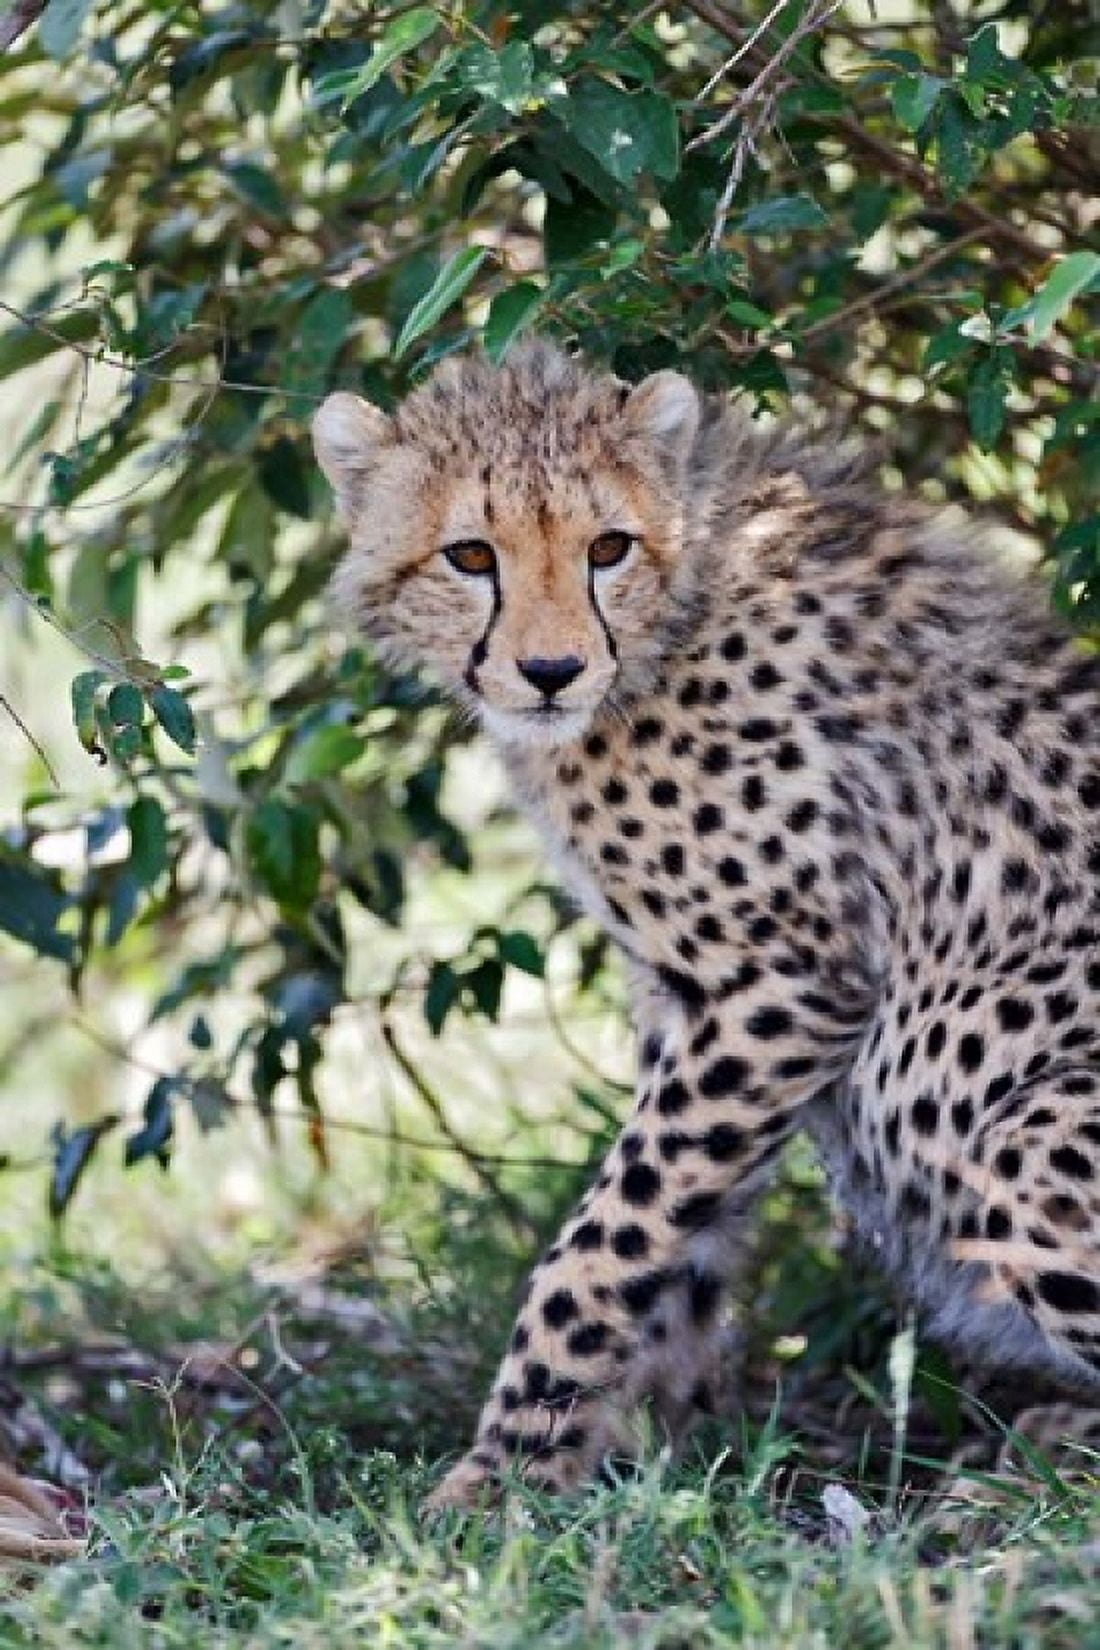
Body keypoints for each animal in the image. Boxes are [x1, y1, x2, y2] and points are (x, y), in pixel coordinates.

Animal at [312, 339, 1100, 1511]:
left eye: (606, 546)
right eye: (468, 555)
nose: (550, 673)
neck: (674, 617)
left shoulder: (783, 985)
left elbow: (602, 1238)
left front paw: (502, 1472)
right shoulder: (690, 1000)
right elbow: (673, 1230)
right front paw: (645, 1451)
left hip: (1022, 1131)